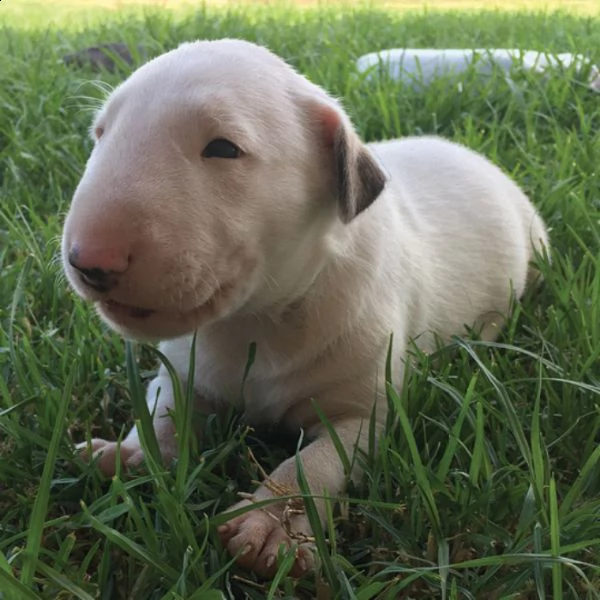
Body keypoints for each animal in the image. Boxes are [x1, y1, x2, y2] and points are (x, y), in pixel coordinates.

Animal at [62, 37, 548, 576]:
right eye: (100, 134)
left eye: (223, 148)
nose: (88, 261)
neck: (257, 319)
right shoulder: (182, 369)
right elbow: (162, 411)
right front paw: (128, 454)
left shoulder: (364, 411)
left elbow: (314, 462)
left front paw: (271, 523)